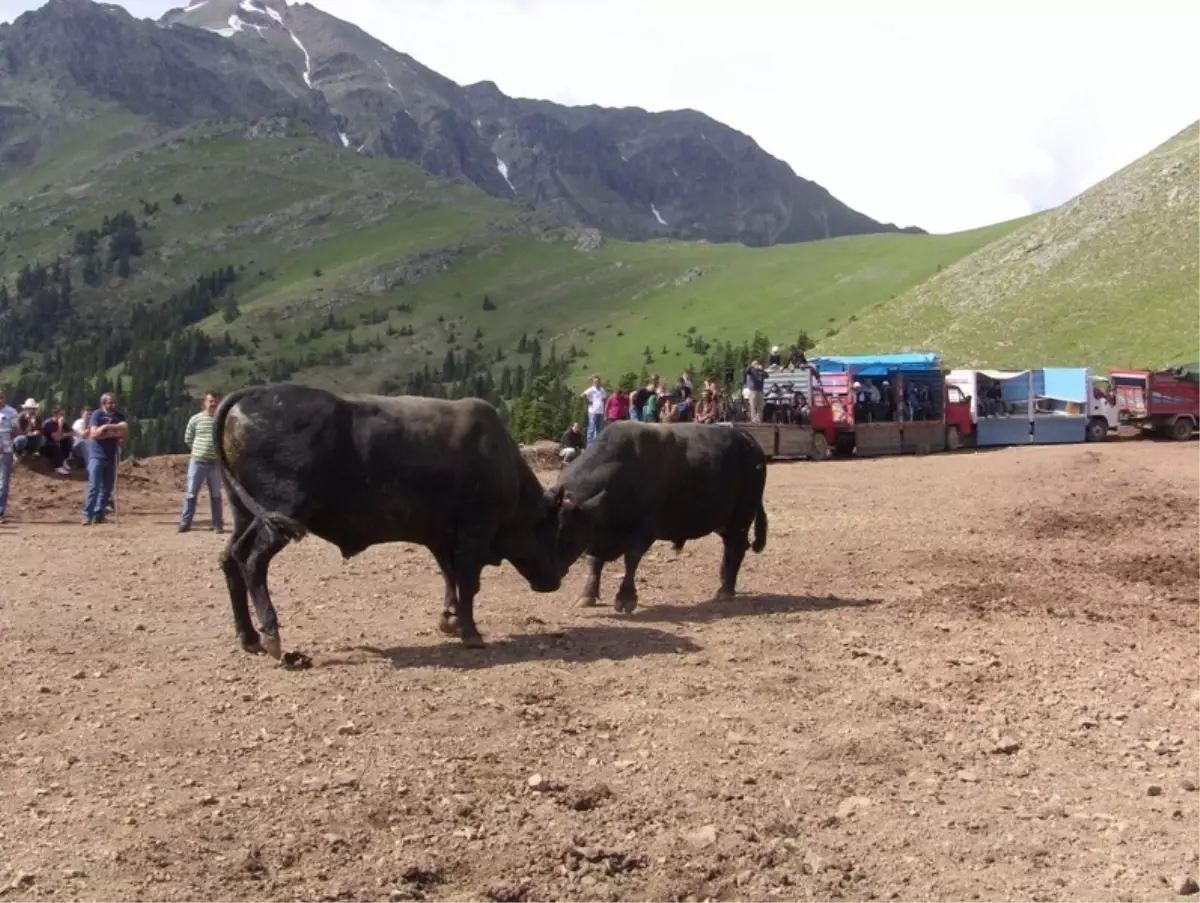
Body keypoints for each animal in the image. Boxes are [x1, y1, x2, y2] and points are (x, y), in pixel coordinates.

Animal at [211, 381, 571, 662]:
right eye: (550, 529)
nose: (555, 580)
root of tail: (252, 393)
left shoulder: (442, 537)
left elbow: (450, 577)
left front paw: (450, 620)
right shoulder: (474, 532)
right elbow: (468, 582)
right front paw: (471, 633)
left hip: (245, 514)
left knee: (230, 558)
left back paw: (249, 638)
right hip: (281, 516)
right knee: (252, 560)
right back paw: (272, 637)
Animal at [552, 422, 768, 614]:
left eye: (567, 534)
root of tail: (747, 438)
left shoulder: (645, 530)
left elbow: (631, 559)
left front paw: (626, 597)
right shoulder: (597, 535)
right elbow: (594, 562)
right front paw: (587, 594)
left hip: (741, 517)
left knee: (737, 547)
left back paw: (726, 589)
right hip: (724, 523)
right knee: (729, 547)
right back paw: (724, 580)